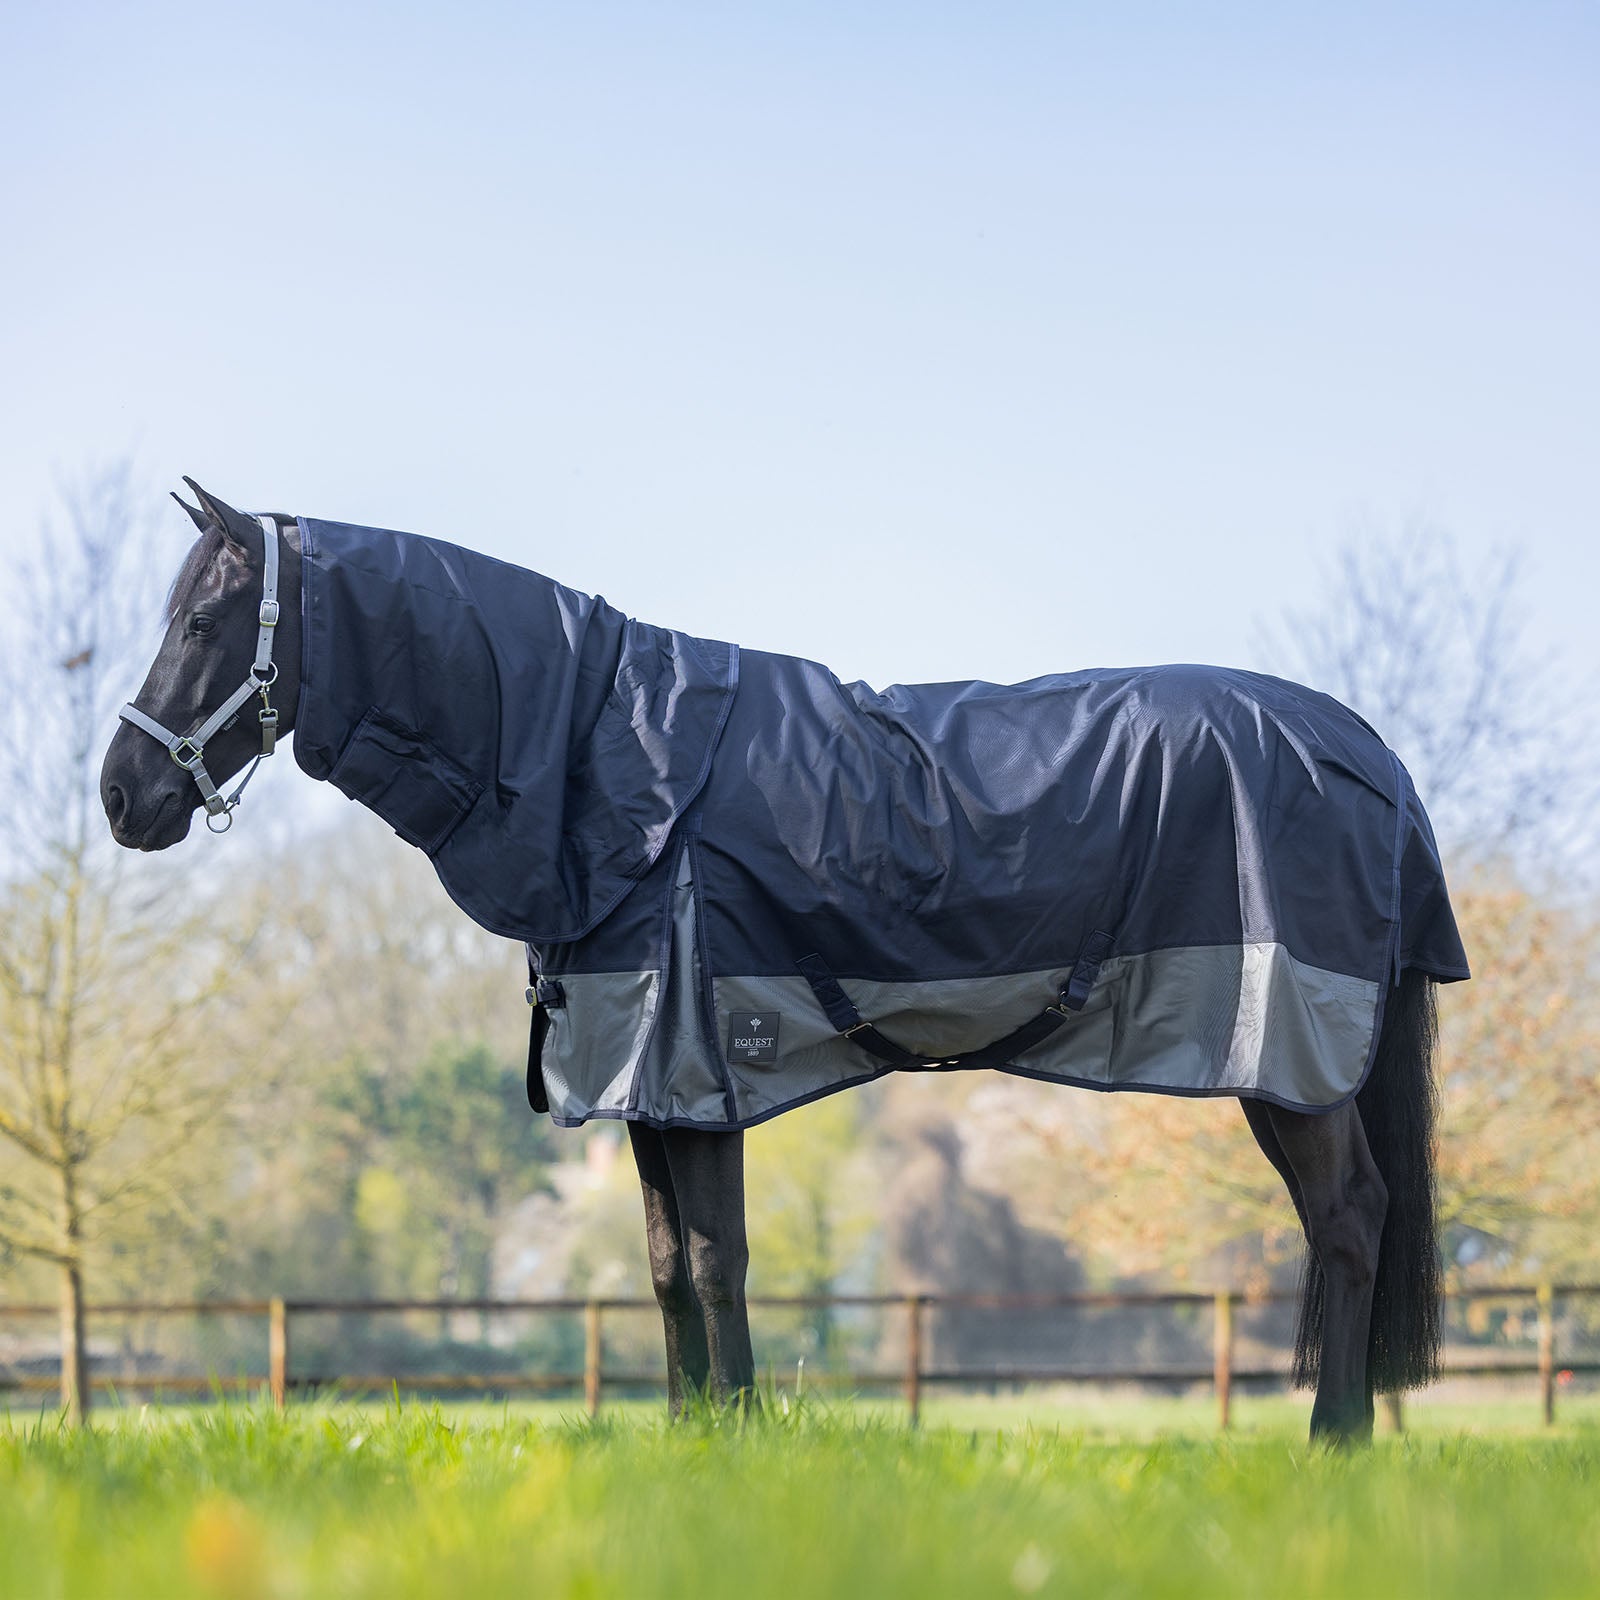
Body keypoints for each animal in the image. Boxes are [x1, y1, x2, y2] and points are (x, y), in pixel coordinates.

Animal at [101, 481, 1468, 1444]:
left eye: (207, 619)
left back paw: (1333, 1445)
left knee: (1348, 1219)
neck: (605, 756)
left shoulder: (697, 1065)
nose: (122, 796)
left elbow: (717, 1262)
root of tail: (1370, 755)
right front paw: (691, 1433)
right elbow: (663, 1269)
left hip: (1294, 1061)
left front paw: (743, 1434)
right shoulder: (644, 1081)